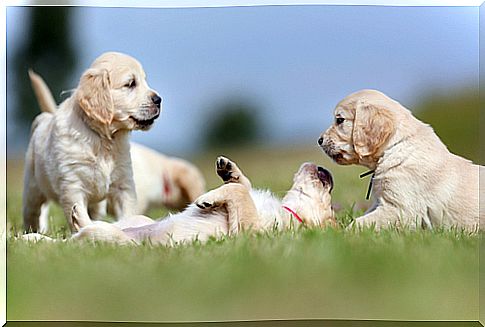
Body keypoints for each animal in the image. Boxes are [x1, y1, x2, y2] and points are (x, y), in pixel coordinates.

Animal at [23, 52, 161, 232]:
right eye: (131, 83)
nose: (159, 100)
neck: (104, 140)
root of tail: (46, 117)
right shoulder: (73, 186)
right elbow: (80, 216)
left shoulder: (124, 185)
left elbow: (128, 212)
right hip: (33, 188)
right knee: (31, 213)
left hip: (97, 204)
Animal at [318, 89, 480, 232]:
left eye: (340, 120)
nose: (319, 140)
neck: (395, 147)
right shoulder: (380, 203)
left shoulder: (401, 209)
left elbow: (359, 223)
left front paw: (341, 234)